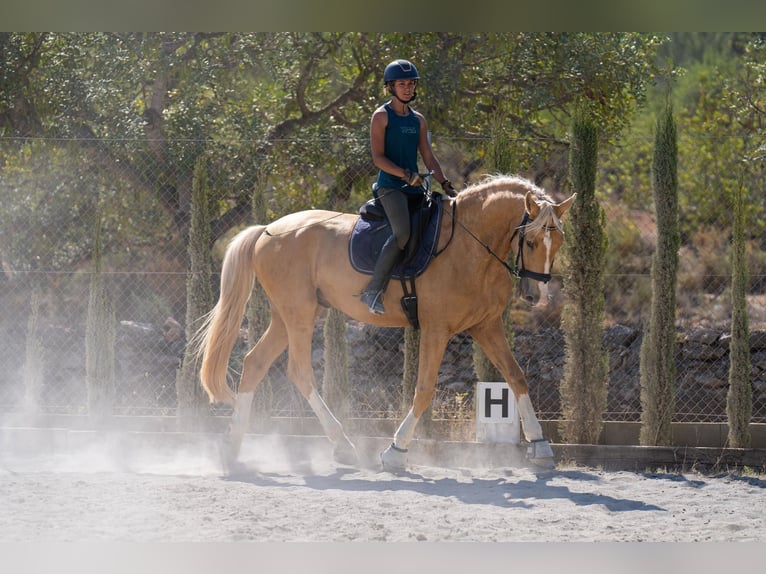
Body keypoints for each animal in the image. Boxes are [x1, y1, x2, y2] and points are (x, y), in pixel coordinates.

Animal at [198, 176, 576, 472]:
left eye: (557, 242)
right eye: (530, 241)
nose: (536, 295)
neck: (471, 247)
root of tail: (267, 230)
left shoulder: (487, 326)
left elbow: (517, 377)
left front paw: (540, 446)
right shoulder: (437, 329)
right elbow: (423, 390)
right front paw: (396, 451)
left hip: (286, 316)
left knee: (255, 363)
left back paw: (233, 450)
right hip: (299, 314)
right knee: (299, 372)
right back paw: (343, 446)